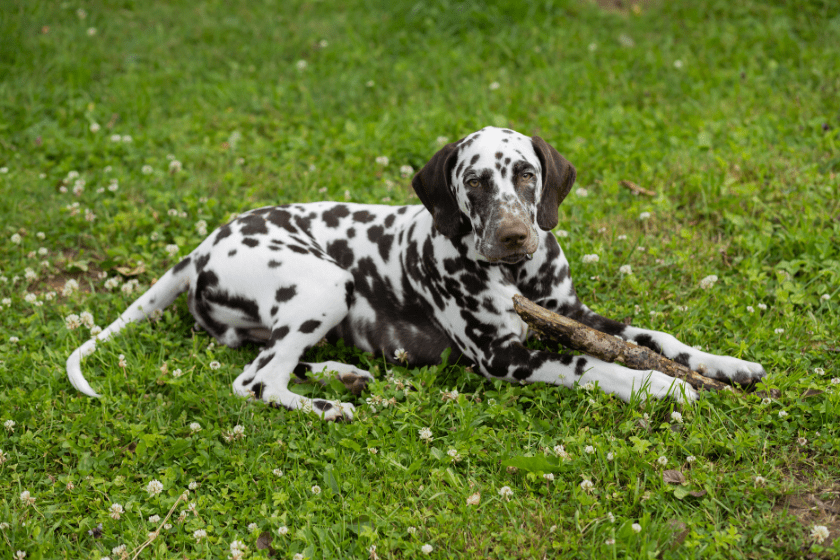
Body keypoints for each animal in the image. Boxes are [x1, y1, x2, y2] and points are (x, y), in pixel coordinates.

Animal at [67, 124, 768, 418]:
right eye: (475, 181)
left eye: (526, 174)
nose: (514, 237)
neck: (516, 279)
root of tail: (208, 242)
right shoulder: (507, 357)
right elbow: (595, 364)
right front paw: (662, 387)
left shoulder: (571, 313)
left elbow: (655, 337)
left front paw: (725, 364)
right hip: (326, 283)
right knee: (256, 382)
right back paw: (326, 405)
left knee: (270, 359)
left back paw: (343, 376)